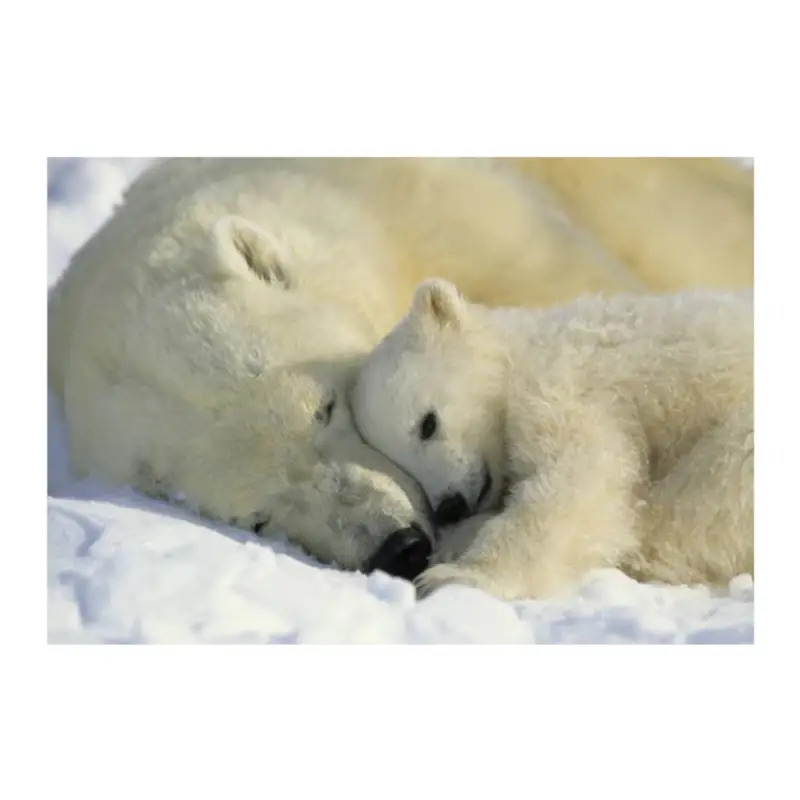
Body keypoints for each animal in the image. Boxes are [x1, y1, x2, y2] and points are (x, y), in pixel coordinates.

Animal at [350, 279, 753, 601]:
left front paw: (454, 576)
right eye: (403, 466)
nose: (451, 506)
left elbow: (578, 478)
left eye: (427, 424)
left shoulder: (561, 384)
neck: (519, 351)